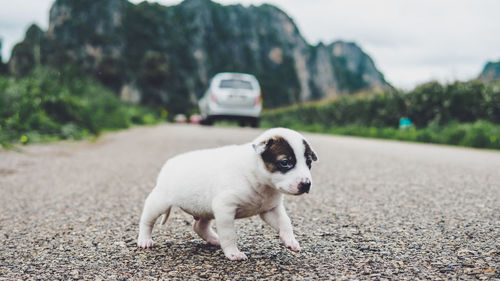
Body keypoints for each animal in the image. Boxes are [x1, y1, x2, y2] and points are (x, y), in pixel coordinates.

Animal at [137, 128, 316, 260]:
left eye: (308, 163)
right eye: (285, 163)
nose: (306, 184)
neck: (258, 178)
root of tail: (169, 163)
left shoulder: (270, 209)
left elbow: (285, 222)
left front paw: (290, 240)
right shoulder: (225, 208)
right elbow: (229, 234)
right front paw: (233, 253)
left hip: (205, 208)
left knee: (199, 226)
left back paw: (214, 239)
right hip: (160, 201)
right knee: (147, 220)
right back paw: (144, 239)